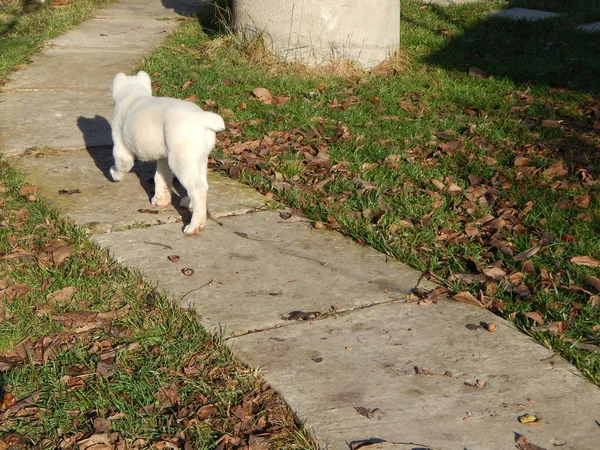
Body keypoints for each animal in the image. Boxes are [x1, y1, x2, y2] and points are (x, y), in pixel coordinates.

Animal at [108, 70, 225, 236]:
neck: (134, 93)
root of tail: (202, 118)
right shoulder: (164, 158)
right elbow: (161, 178)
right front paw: (160, 200)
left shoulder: (121, 149)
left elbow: (121, 164)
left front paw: (114, 173)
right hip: (198, 160)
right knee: (202, 184)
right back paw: (188, 202)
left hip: (181, 161)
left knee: (198, 189)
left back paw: (194, 226)